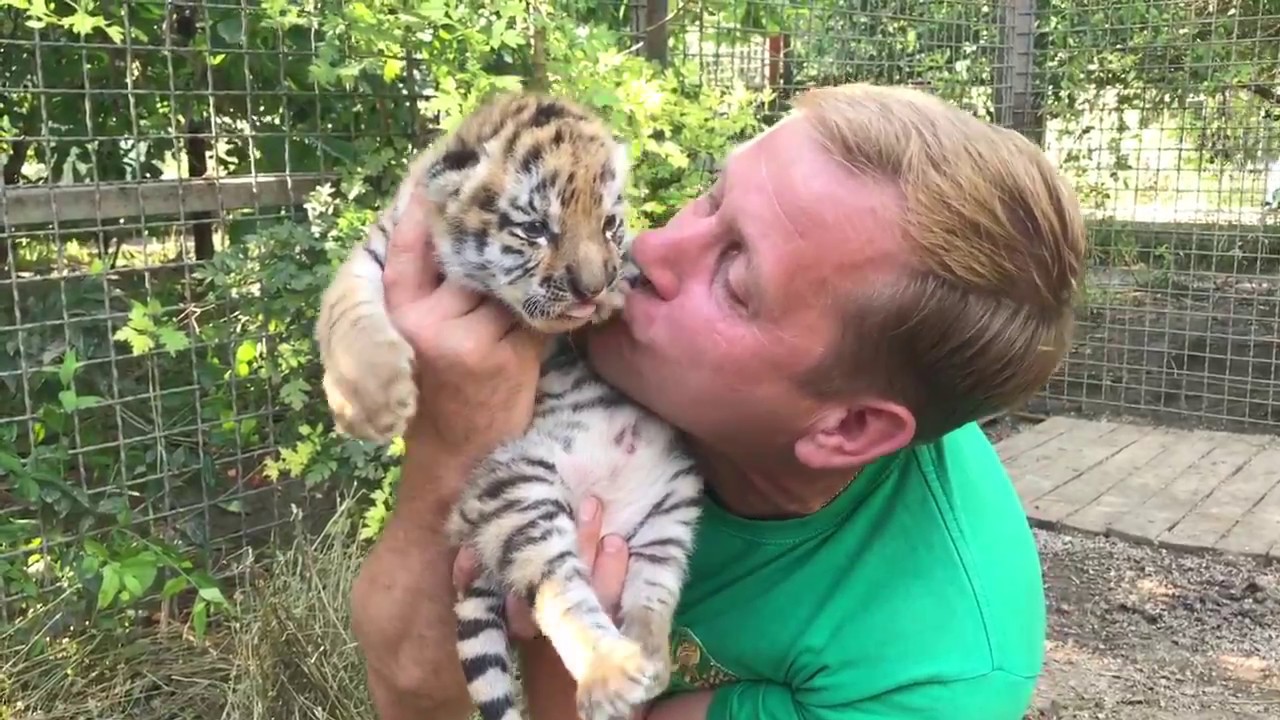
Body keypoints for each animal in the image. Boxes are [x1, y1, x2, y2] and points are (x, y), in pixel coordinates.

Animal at [314, 91, 704, 720]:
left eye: (609, 223)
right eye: (536, 229)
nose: (594, 287)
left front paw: (624, 282)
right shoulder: (378, 251)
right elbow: (343, 309)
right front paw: (370, 407)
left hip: (672, 503)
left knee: (648, 592)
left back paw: (639, 664)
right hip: (522, 490)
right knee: (563, 591)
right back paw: (620, 671)